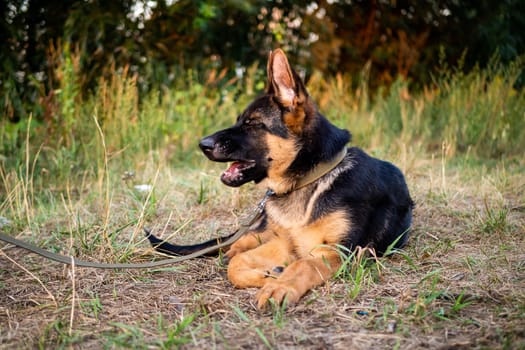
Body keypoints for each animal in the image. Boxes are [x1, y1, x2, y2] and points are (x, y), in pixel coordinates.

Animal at [145, 50, 412, 308]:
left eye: (252, 123)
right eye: (239, 120)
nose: (203, 145)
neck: (311, 180)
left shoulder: (338, 252)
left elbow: (303, 264)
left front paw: (280, 285)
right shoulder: (284, 243)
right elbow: (238, 264)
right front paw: (268, 276)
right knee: (244, 240)